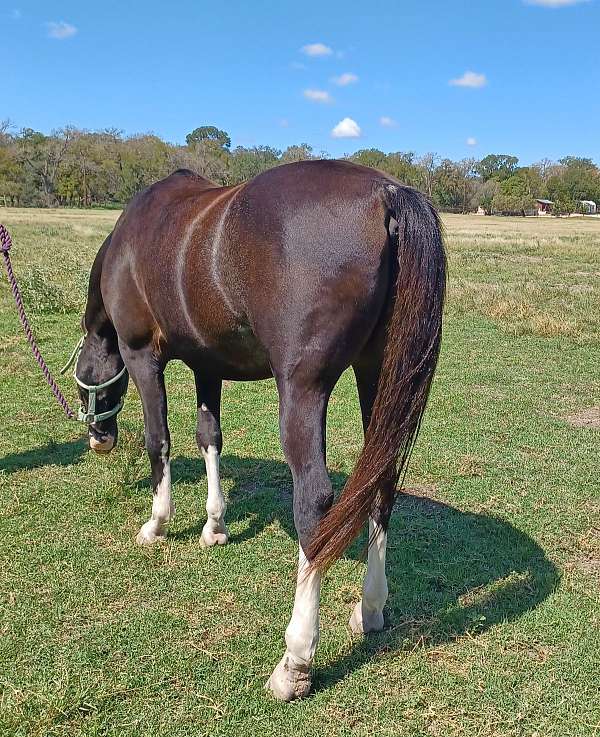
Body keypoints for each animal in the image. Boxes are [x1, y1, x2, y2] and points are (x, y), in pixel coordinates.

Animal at [74, 158, 446, 700]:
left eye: (85, 375)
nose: (98, 439)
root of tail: (386, 193)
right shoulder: (206, 363)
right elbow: (209, 438)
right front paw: (214, 526)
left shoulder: (142, 355)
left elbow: (158, 439)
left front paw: (157, 524)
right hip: (378, 376)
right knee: (381, 483)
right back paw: (371, 609)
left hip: (303, 390)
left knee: (314, 504)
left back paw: (295, 661)